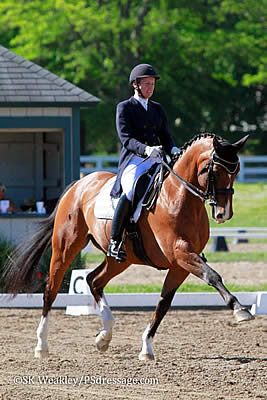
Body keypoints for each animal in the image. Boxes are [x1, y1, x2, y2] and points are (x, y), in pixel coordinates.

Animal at [2, 134, 253, 360]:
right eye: (216, 172)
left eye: (236, 171)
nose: (224, 214)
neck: (179, 198)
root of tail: (79, 184)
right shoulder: (181, 253)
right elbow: (213, 276)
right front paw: (240, 309)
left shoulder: (180, 265)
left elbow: (163, 303)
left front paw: (147, 348)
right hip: (65, 248)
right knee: (50, 290)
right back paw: (42, 346)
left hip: (121, 259)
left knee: (94, 280)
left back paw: (104, 337)